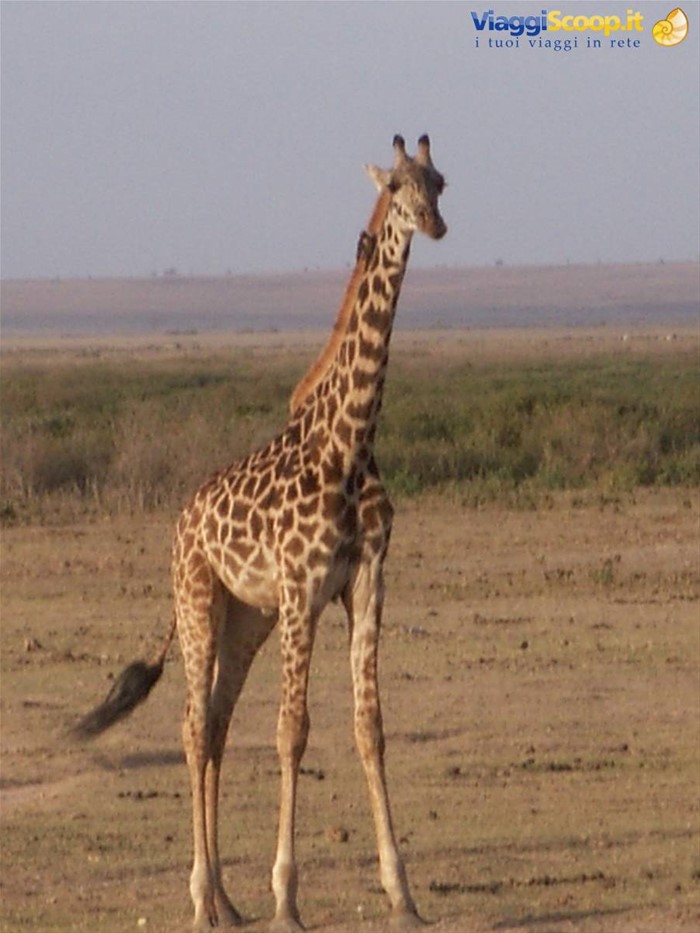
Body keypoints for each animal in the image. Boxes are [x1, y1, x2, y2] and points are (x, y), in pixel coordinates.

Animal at [73, 133, 447, 932]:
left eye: (439, 181)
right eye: (395, 187)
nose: (433, 224)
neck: (350, 440)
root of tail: (182, 519)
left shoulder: (367, 582)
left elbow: (369, 726)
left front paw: (402, 894)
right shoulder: (303, 589)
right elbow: (292, 730)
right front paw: (287, 896)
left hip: (247, 617)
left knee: (215, 723)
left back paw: (225, 899)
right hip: (197, 601)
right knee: (191, 727)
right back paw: (200, 898)